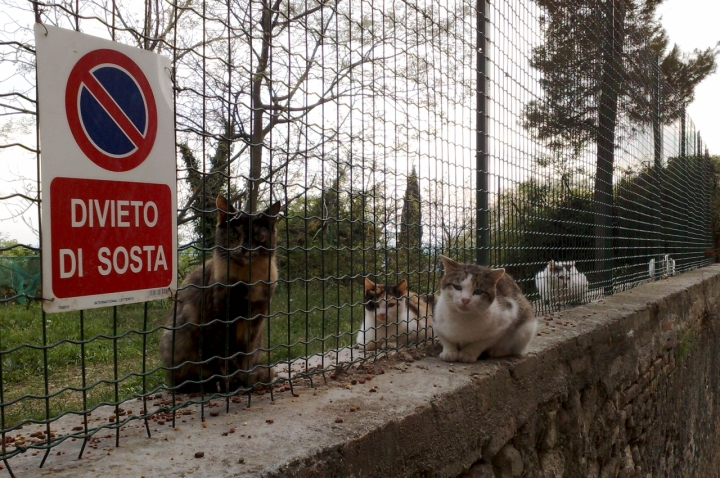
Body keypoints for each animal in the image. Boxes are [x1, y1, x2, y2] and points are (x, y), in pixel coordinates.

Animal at [160, 195, 282, 392]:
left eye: (257, 236)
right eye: (233, 235)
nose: (244, 249)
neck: (247, 279)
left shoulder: (255, 321)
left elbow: (245, 355)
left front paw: (245, 379)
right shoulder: (216, 321)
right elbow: (221, 356)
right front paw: (229, 383)